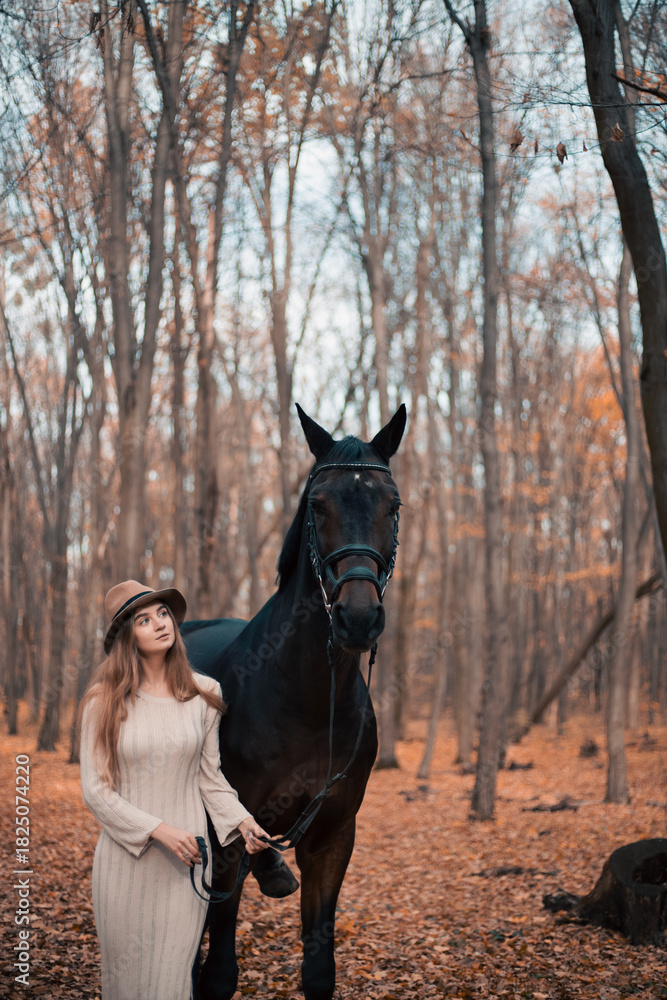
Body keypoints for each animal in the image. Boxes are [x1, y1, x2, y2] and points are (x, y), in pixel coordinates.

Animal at [182, 402, 406, 1000]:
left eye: (393, 505)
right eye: (318, 505)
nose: (358, 617)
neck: (307, 699)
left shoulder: (333, 835)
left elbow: (319, 969)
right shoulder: (226, 837)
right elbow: (218, 972)